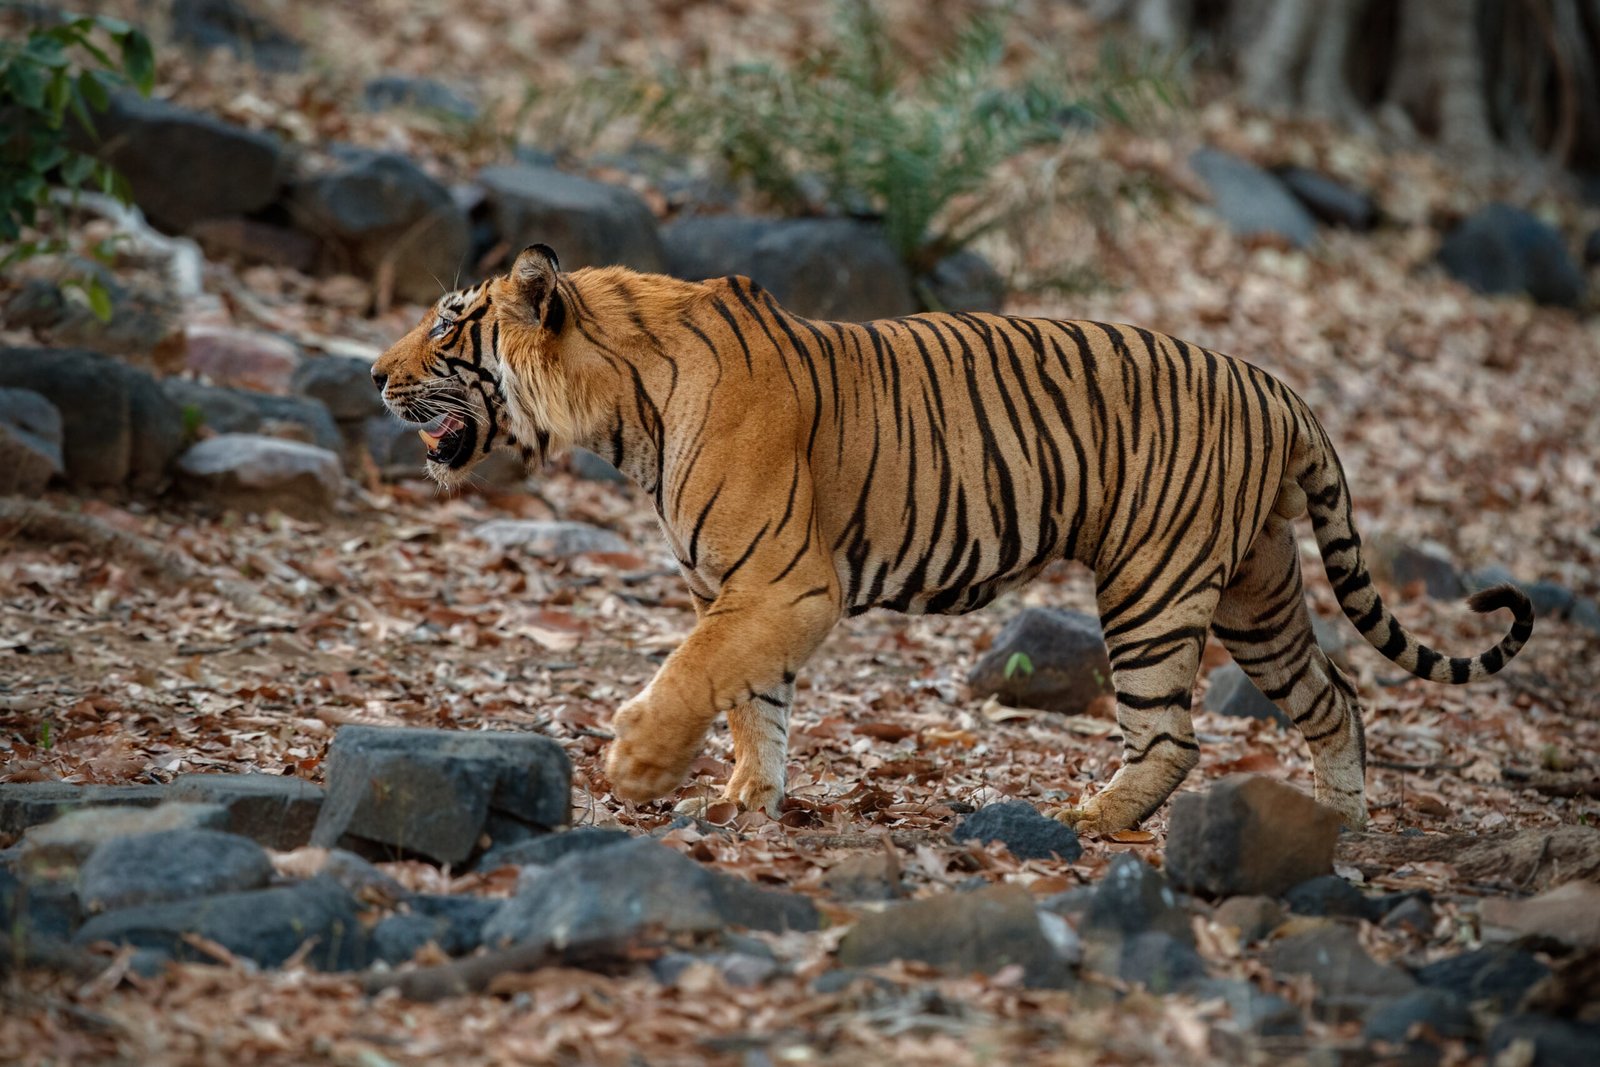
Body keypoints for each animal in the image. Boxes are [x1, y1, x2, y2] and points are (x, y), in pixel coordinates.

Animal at [371, 243, 1534, 835]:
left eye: (448, 323)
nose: (375, 375)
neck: (623, 413)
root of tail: (1282, 388)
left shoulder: (785, 582)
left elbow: (697, 672)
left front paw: (641, 765)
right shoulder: (738, 589)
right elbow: (752, 696)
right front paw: (749, 795)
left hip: (1154, 587)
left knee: (1171, 733)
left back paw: (1091, 815)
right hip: (1258, 592)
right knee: (1334, 700)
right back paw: (1338, 830)